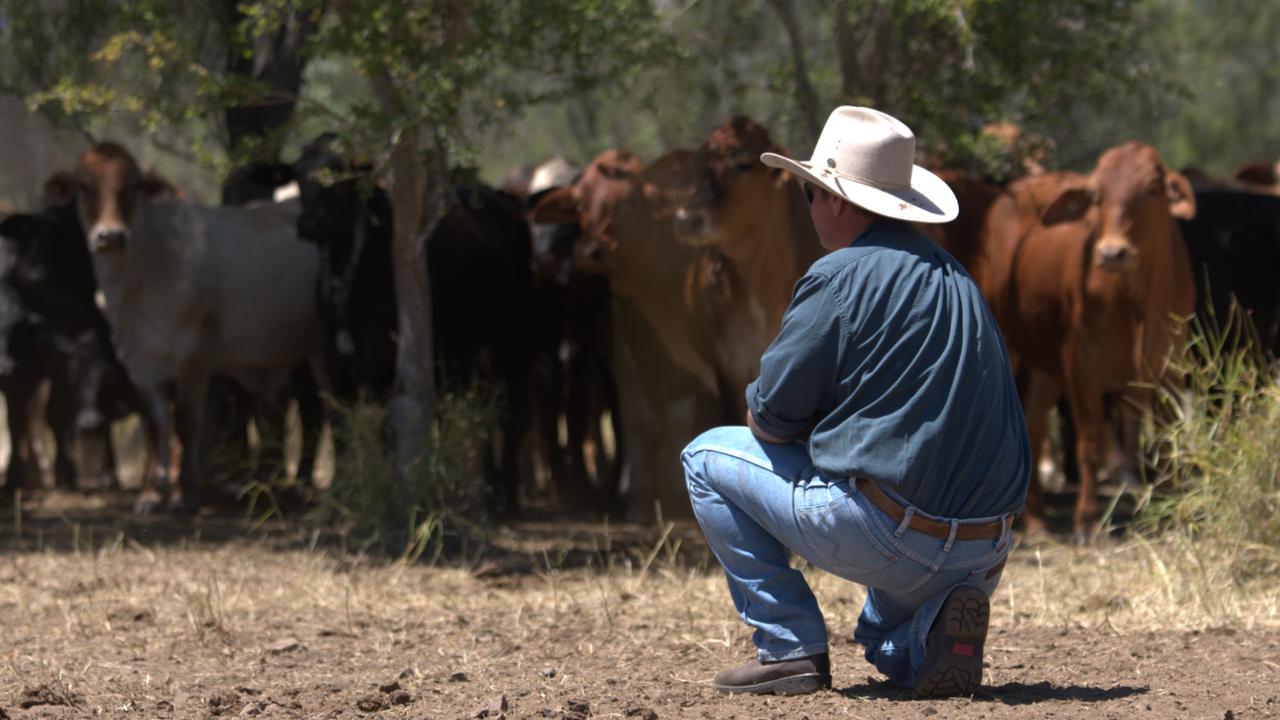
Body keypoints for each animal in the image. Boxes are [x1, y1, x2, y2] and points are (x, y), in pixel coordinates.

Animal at [983, 142, 1192, 538]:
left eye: (1151, 189)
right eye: (1097, 195)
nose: (1112, 253)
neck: (1134, 298)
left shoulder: (1168, 370)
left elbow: (1167, 442)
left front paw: (1174, 513)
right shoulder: (1082, 366)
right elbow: (1090, 445)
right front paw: (1088, 522)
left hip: (1047, 366)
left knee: (1033, 422)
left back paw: (1037, 517)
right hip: (1013, 346)